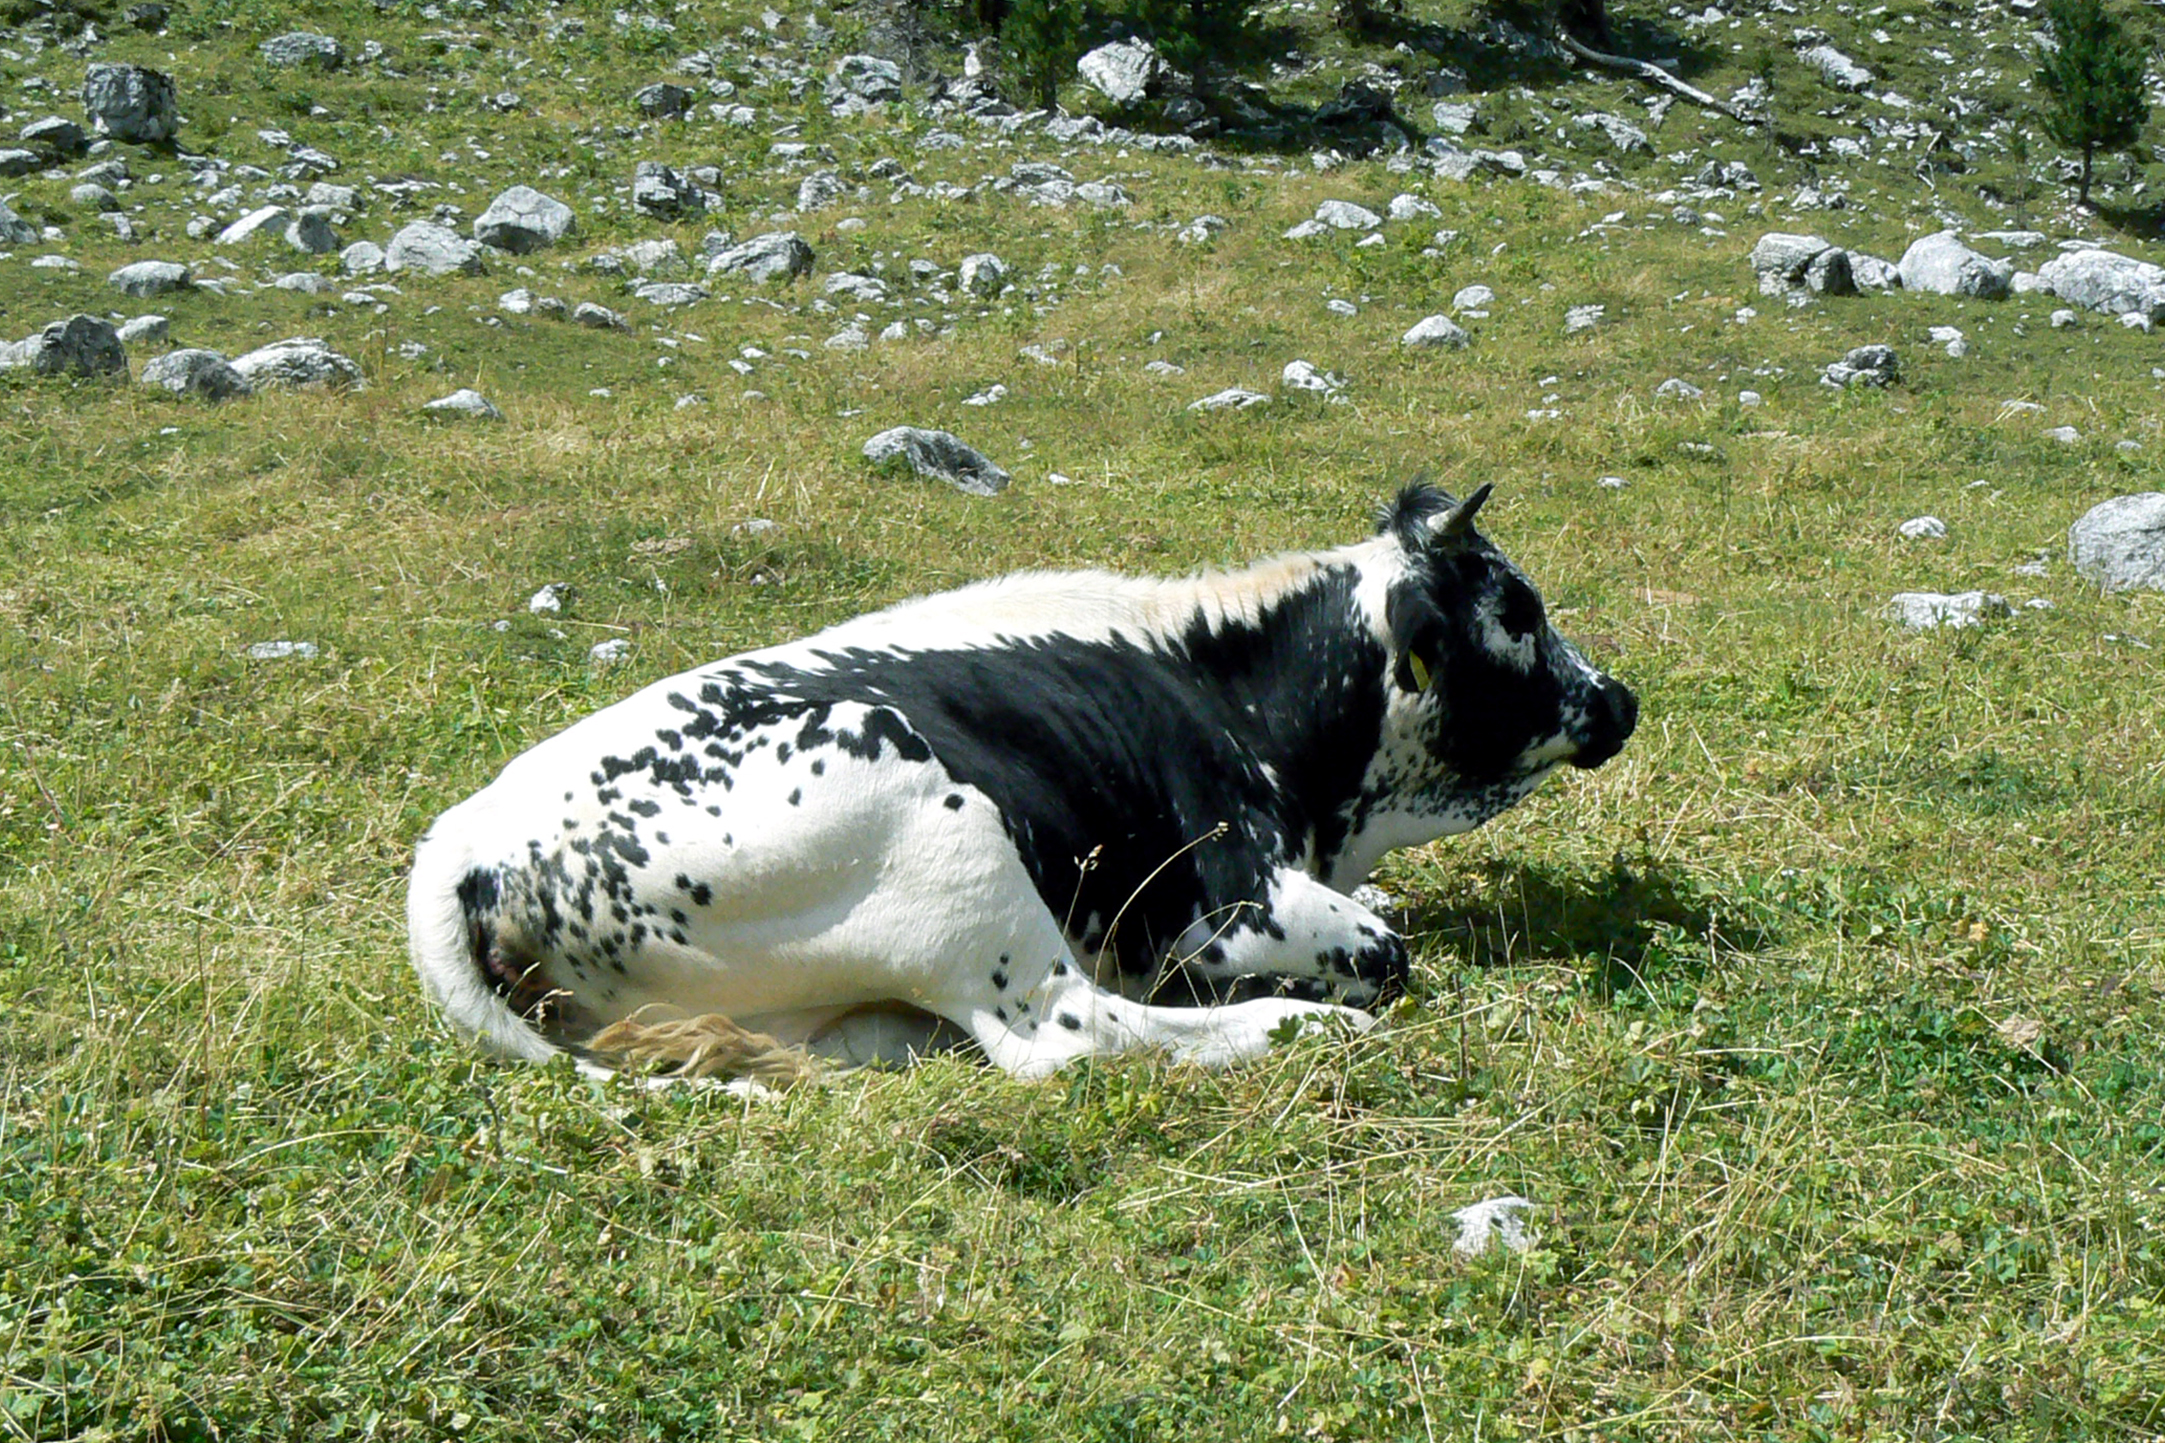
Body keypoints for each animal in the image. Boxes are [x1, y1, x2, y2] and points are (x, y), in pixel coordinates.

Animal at [407, 482, 1637, 1083]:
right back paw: (1295, 1028)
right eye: (1514, 613)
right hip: (941, 835)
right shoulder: (1222, 907)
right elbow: (1384, 950)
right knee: (1069, 1033)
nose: (1618, 700)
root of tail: (464, 841)